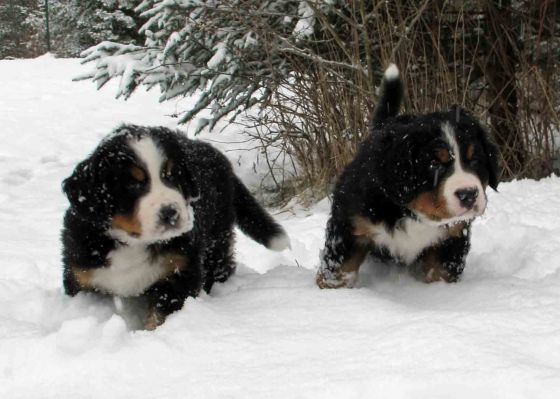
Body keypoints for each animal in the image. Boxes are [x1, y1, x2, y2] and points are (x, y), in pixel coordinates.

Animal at [61, 124, 290, 328]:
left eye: (171, 175)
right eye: (133, 184)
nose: (170, 213)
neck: (133, 243)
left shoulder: (179, 272)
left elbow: (160, 314)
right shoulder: (81, 275)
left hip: (216, 238)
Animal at [318, 65, 500, 290]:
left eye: (475, 160)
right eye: (434, 164)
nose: (468, 194)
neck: (413, 212)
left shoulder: (451, 238)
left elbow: (440, 274)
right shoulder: (349, 223)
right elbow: (339, 269)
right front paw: (332, 293)